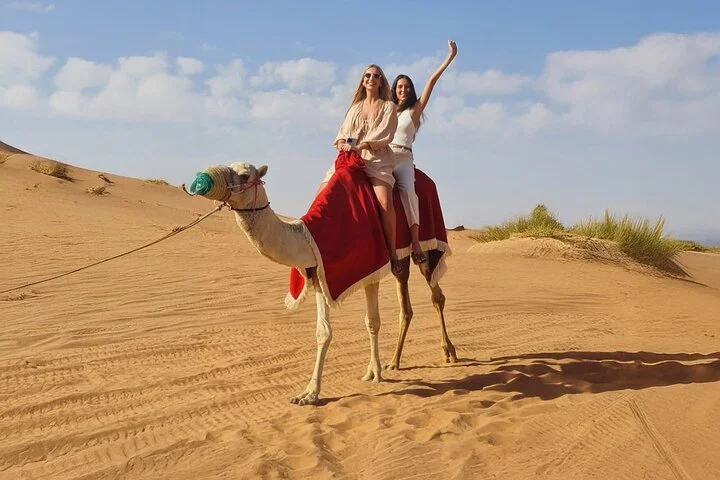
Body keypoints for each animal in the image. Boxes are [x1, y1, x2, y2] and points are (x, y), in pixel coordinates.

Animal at [209, 162, 457, 405]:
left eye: (244, 175)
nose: (208, 180)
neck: (308, 235)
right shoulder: (320, 273)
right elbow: (324, 331)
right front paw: (308, 393)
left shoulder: (370, 267)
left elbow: (372, 321)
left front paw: (374, 373)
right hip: (401, 258)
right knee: (405, 301)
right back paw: (394, 362)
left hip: (427, 248)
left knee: (436, 294)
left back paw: (449, 352)